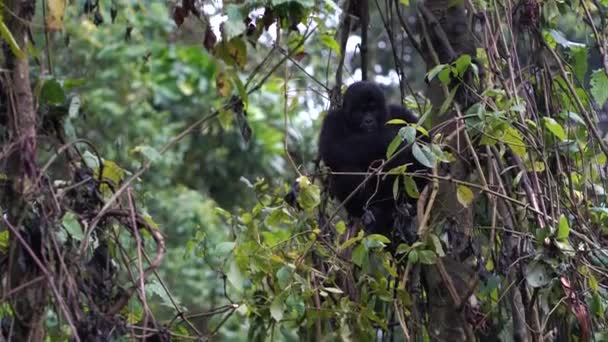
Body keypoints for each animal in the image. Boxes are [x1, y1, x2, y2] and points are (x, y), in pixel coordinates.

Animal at [318, 81, 428, 239]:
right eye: (361, 111)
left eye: (373, 109)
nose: (368, 120)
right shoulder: (332, 120)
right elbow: (333, 149)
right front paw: (388, 139)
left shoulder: (400, 112)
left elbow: (424, 139)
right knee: (346, 169)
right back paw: (365, 213)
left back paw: (405, 208)